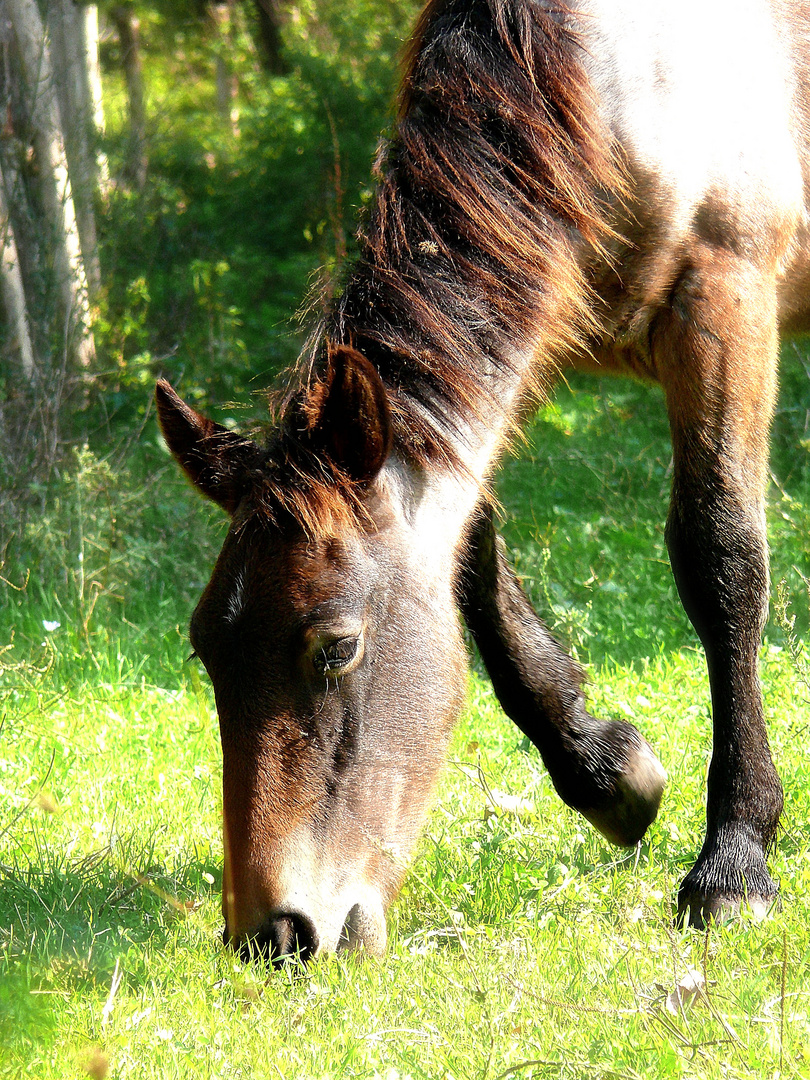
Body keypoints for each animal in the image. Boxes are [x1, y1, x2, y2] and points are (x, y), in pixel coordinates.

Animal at [155, 0, 807, 963]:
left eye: (336, 647)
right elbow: (471, 554)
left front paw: (733, 862)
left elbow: (721, 557)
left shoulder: (725, 302)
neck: (617, 76)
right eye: (207, 649)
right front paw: (606, 771)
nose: (275, 935)